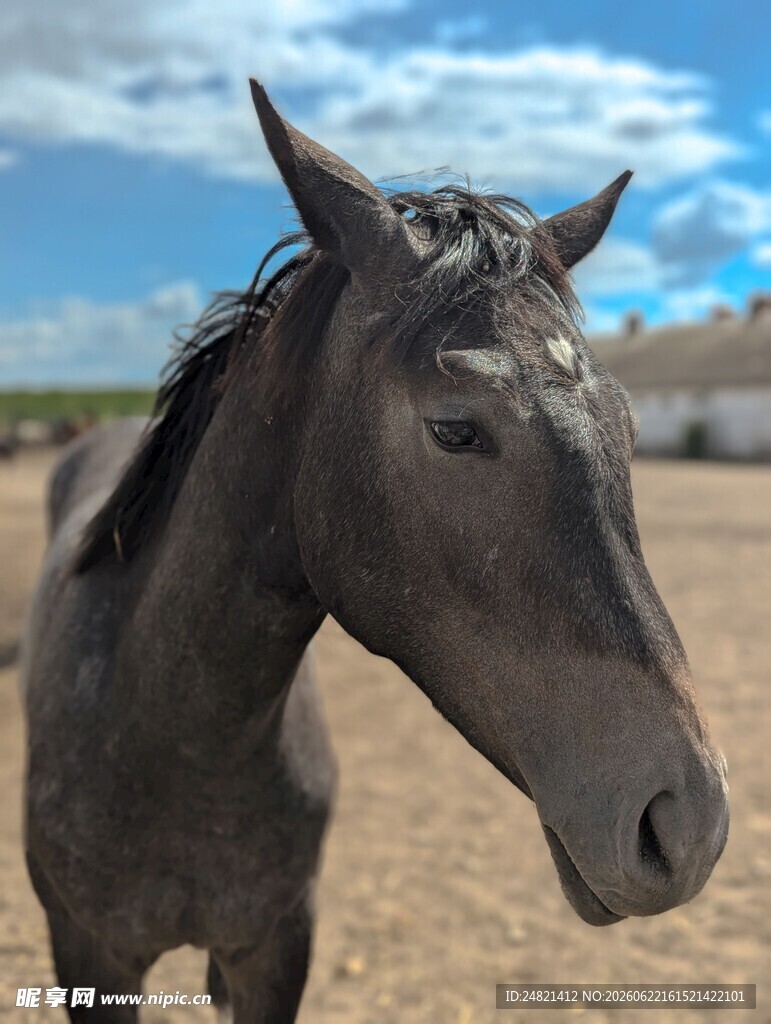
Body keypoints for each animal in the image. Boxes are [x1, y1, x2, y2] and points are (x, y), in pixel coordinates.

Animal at [21, 80, 729, 1023]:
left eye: (629, 427)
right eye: (455, 429)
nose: (689, 826)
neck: (165, 738)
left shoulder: (276, 948)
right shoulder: (91, 955)